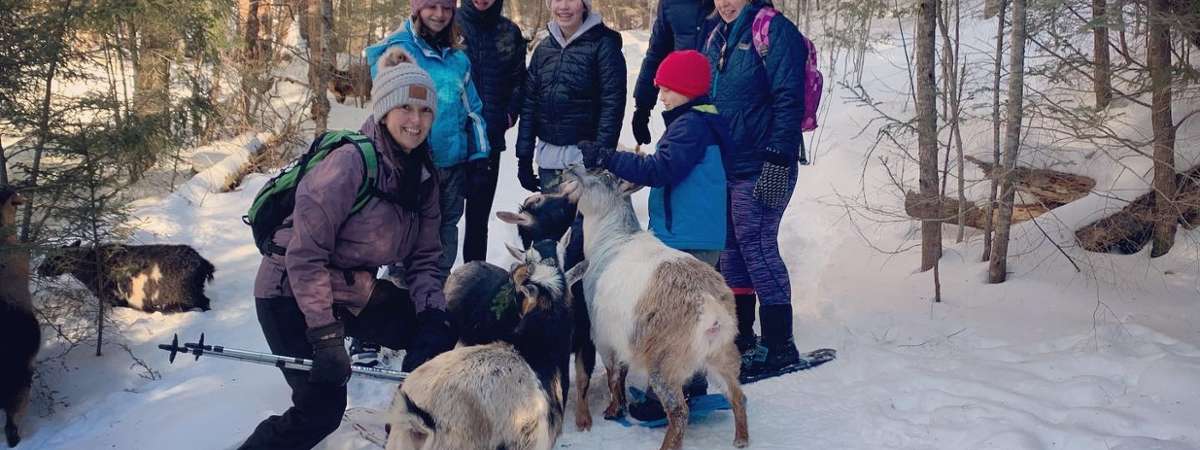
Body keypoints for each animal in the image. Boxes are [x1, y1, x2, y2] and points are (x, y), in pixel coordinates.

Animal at [39, 243, 217, 314]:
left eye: (54, 258)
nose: (39, 270)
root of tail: (202, 263)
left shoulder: (114, 299)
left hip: (189, 294)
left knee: (204, 303)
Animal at [554, 168, 744, 450]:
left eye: (600, 177)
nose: (568, 170)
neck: (612, 238)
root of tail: (709, 306)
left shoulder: (604, 337)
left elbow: (613, 375)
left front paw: (613, 410)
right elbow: (620, 373)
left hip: (664, 364)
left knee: (679, 412)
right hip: (721, 354)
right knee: (737, 395)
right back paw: (741, 439)